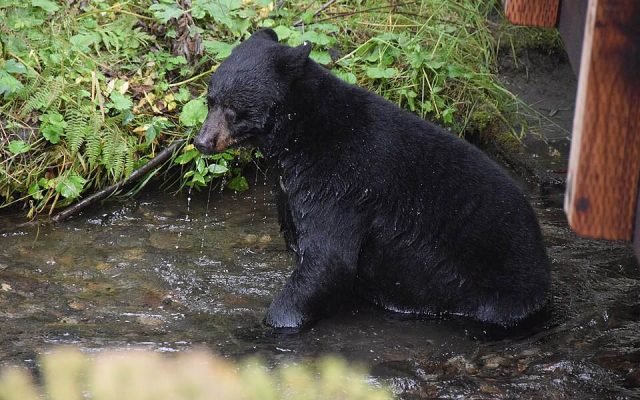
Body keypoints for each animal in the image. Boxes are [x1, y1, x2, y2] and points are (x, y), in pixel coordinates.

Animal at [194, 28, 550, 329]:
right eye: (210, 100)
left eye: (233, 109)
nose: (202, 141)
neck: (302, 136)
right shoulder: (291, 187)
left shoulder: (340, 185)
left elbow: (328, 261)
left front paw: (269, 324)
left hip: (493, 284)